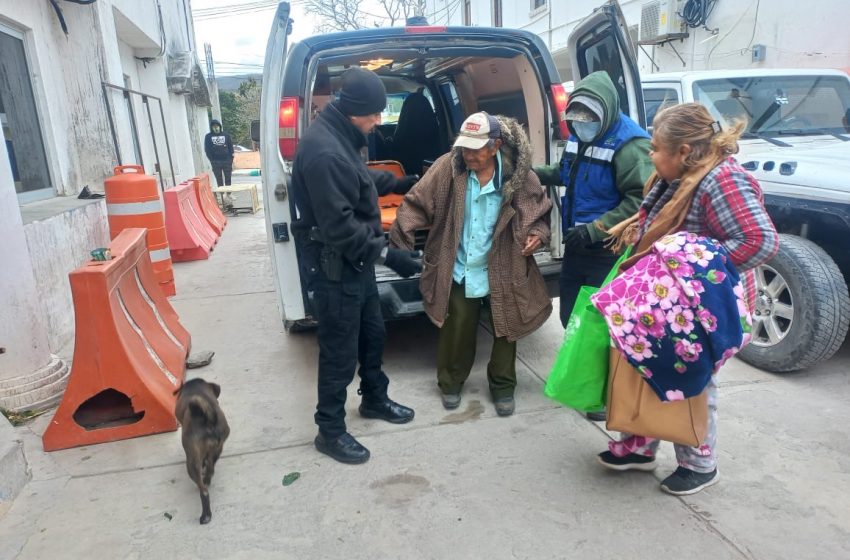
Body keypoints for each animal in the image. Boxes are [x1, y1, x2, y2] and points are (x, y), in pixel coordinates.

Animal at [172, 378, 229, 524]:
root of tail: (206, 418)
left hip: (192, 463)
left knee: (203, 491)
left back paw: (205, 515)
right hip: (217, 449)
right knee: (210, 468)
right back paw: (207, 478)